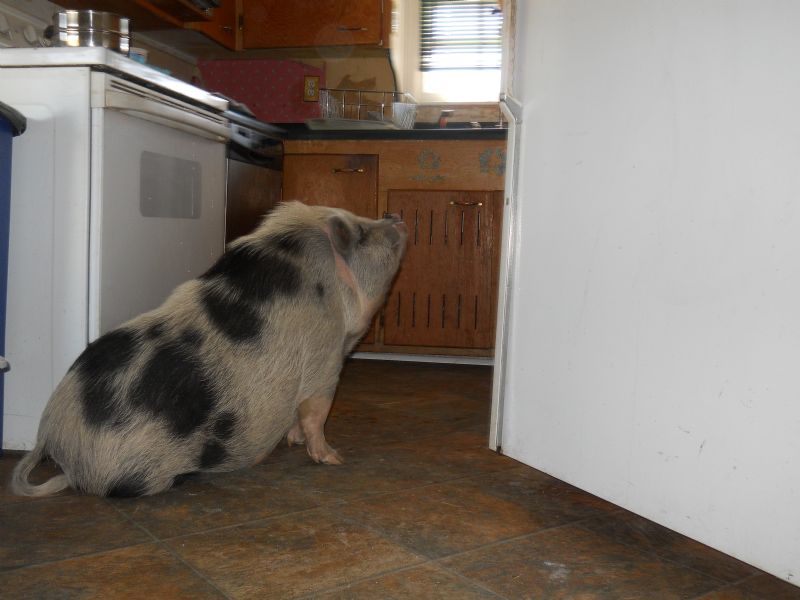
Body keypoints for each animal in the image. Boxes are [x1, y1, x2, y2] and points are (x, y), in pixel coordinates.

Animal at [10, 201, 407, 498]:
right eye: (361, 234)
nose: (395, 214)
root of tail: (51, 433)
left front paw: (293, 442)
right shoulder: (325, 360)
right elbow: (316, 413)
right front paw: (334, 458)